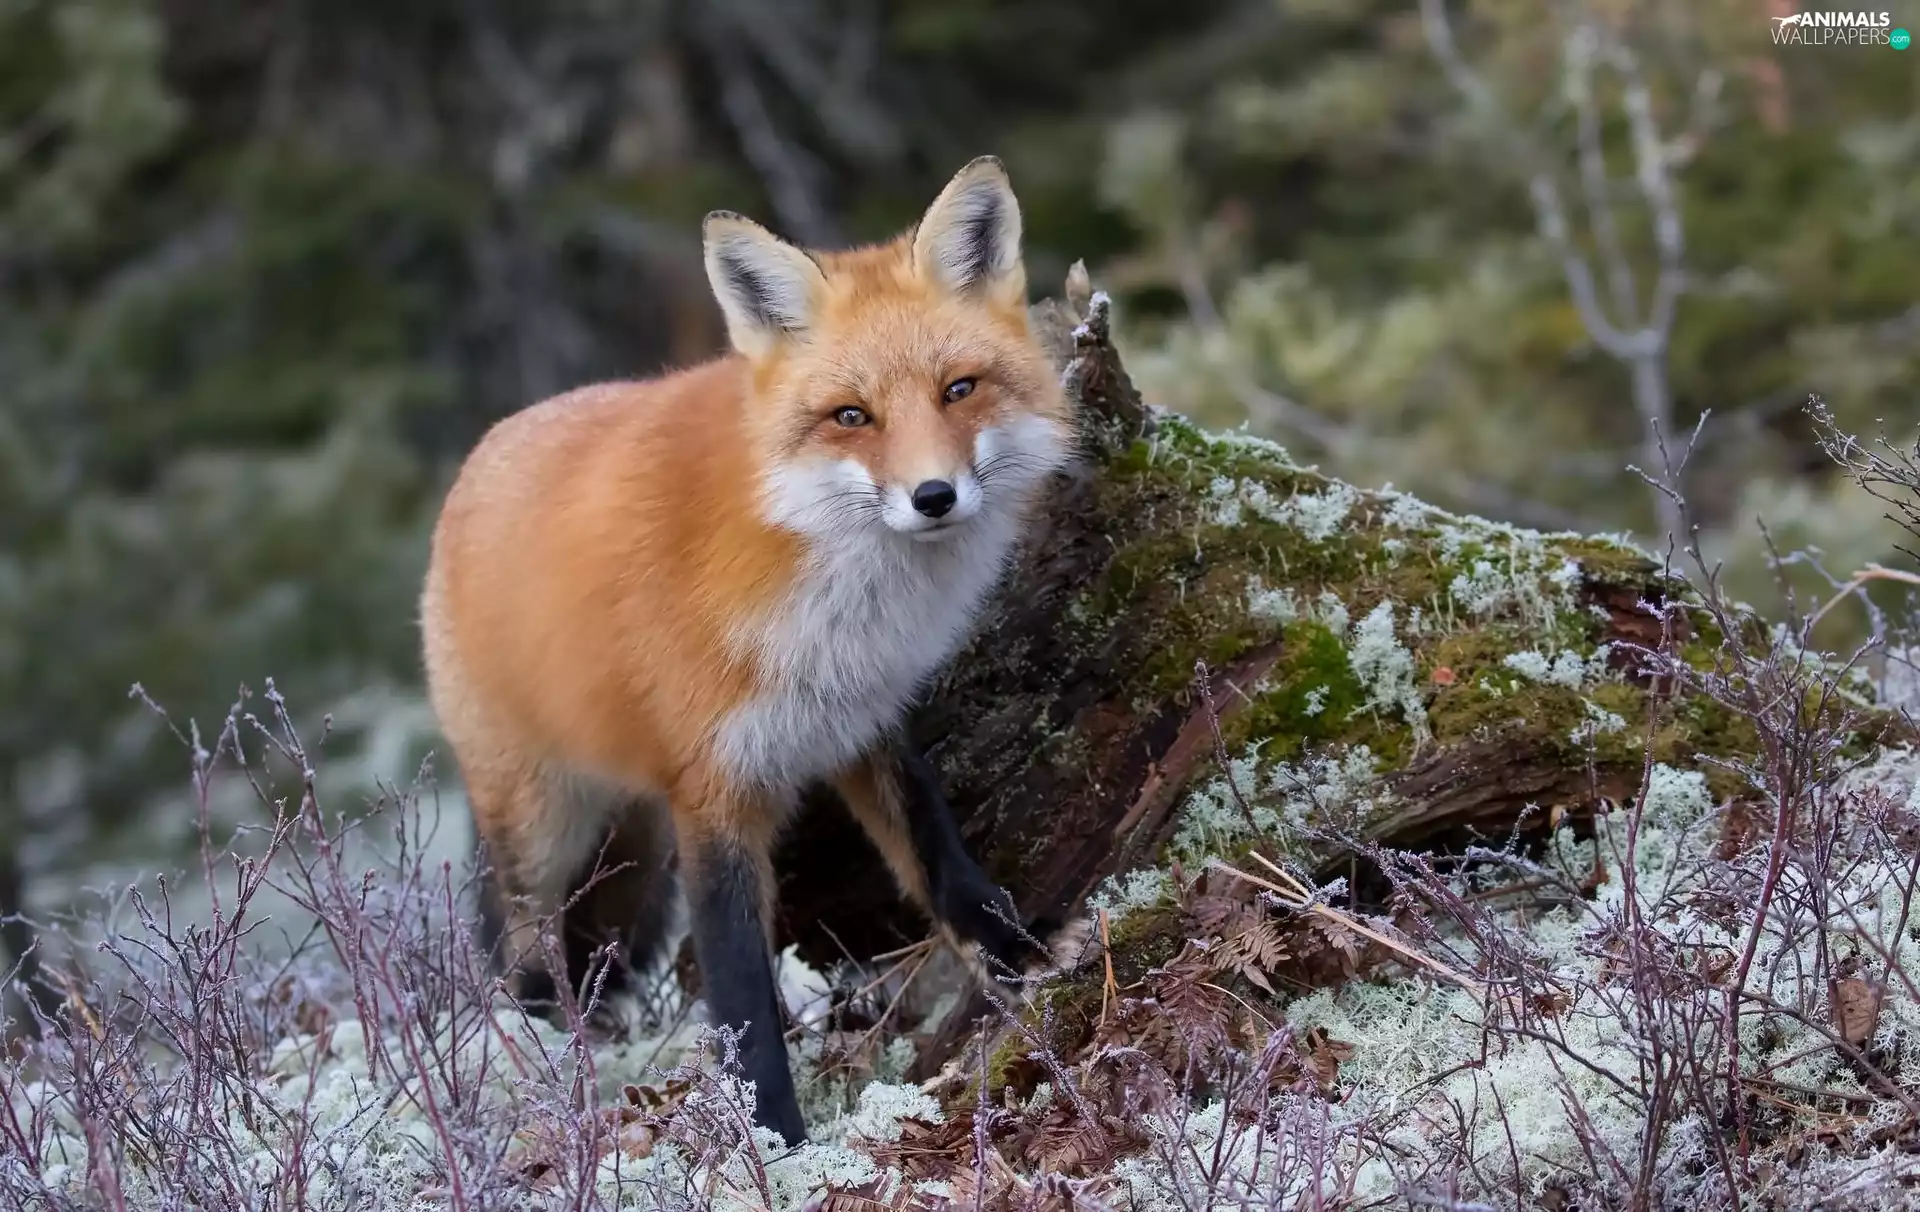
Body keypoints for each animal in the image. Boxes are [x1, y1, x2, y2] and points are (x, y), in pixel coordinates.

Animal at [419, 156, 1086, 1145]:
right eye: (852, 416)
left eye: (959, 389)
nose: (934, 496)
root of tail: (479, 458)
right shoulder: (713, 791)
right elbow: (741, 996)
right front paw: (773, 1135)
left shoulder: (864, 720)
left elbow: (939, 858)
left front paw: (1018, 953)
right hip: (541, 824)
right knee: (522, 958)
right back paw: (548, 1068)